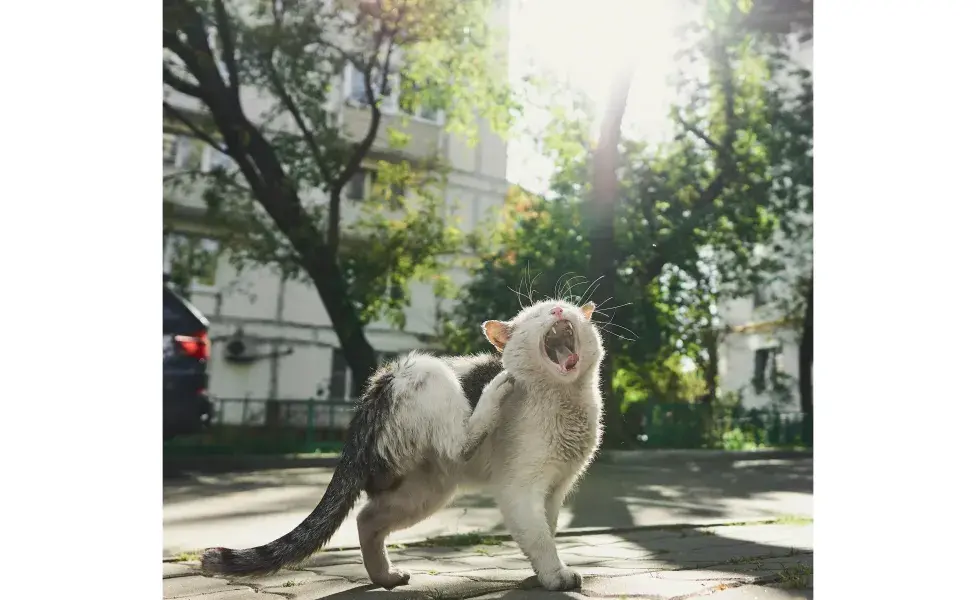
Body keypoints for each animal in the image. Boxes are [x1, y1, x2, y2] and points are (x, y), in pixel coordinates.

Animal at [200, 298, 604, 592]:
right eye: (537, 313)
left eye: (565, 307)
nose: (557, 311)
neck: (566, 401)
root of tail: (376, 387)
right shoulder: (519, 489)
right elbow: (538, 536)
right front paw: (554, 576)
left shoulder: (555, 489)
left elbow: (546, 528)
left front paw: (541, 571)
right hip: (430, 372)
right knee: (459, 442)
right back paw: (496, 389)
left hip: (425, 490)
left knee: (366, 518)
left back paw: (385, 577)